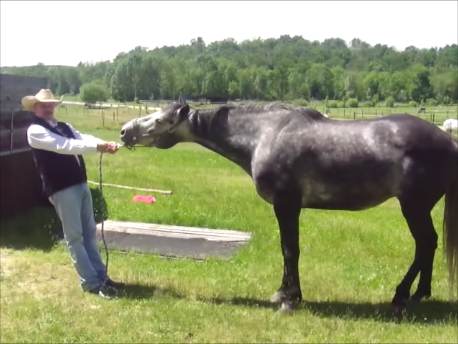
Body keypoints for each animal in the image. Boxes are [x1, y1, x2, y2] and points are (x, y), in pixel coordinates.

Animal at [119, 103, 458, 314]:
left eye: (160, 120)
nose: (124, 132)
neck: (264, 136)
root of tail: (448, 141)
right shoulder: (287, 208)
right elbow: (287, 250)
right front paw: (283, 293)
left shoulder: (287, 205)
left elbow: (289, 250)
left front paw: (290, 299)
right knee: (427, 245)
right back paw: (418, 295)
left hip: (413, 206)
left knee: (425, 244)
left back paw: (402, 296)